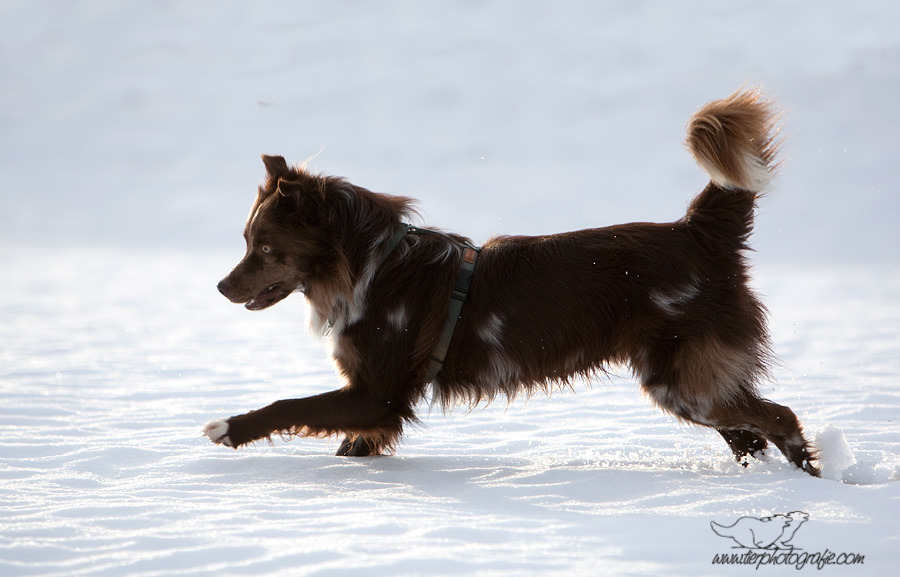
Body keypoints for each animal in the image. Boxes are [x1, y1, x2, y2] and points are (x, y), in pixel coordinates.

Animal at [204, 84, 824, 472]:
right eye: (246, 242)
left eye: (264, 248)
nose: (220, 288)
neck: (371, 266)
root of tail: (697, 231)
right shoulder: (376, 405)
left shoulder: (376, 394)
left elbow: (290, 406)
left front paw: (227, 427)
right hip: (691, 381)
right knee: (752, 433)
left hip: (684, 379)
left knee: (781, 418)